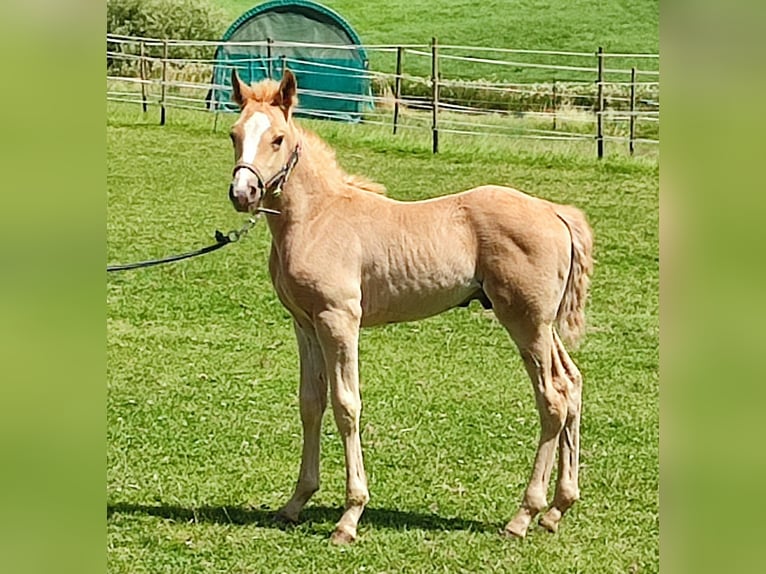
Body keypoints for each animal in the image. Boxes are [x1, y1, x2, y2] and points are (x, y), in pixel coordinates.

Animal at [225, 68, 596, 544]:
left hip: (526, 322)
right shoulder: (304, 323)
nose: (244, 192)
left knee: (552, 399)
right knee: (572, 383)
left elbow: (347, 405)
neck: (318, 217)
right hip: (543, 326)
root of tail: (555, 212)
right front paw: (295, 502)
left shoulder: (339, 320)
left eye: (278, 138)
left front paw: (349, 516)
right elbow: (311, 403)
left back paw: (523, 516)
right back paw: (557, 509)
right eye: (235, 134)